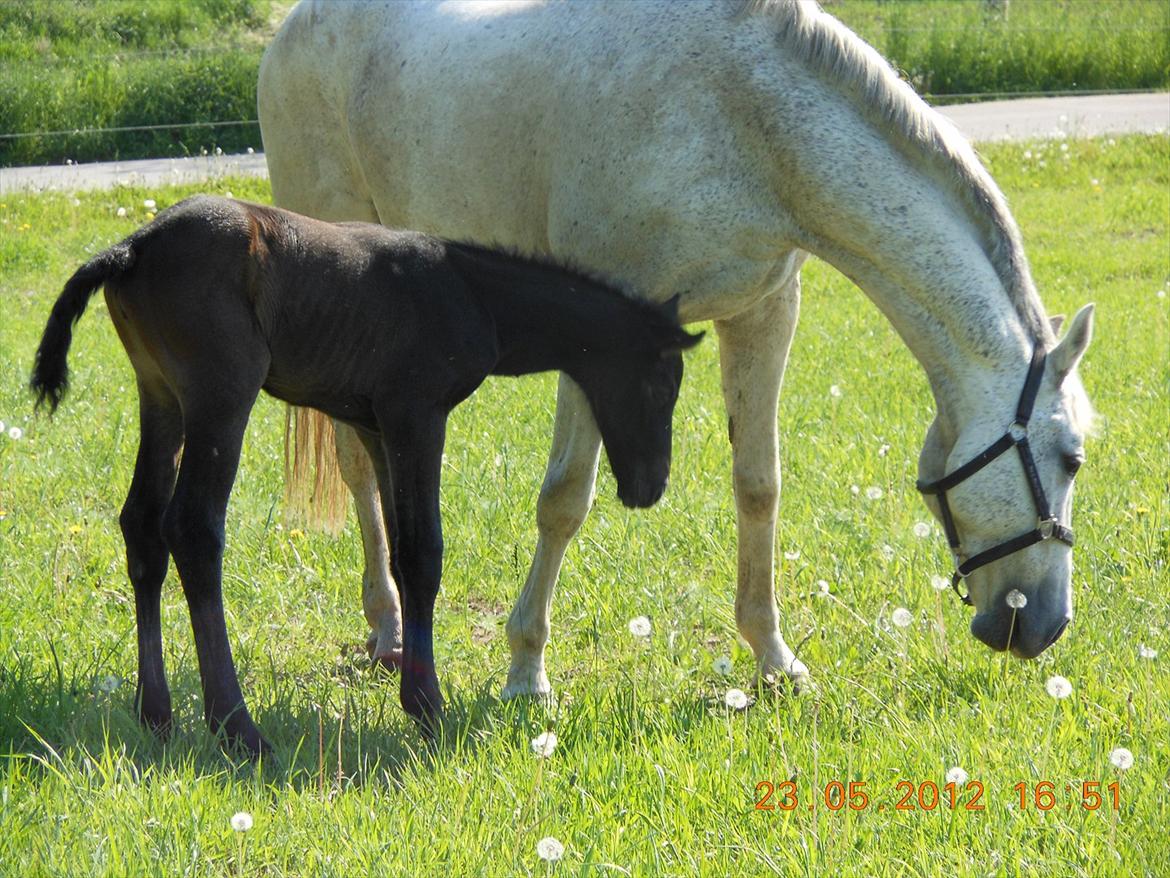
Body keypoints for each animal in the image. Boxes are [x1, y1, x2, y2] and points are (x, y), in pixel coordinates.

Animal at [258, 0, 1095, 702]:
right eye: (1072, 458)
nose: (1045, 625)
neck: (744, 118)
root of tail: (293, 25)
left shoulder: (761, 316)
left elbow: (759, 486)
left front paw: (774, 659)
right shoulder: (595, 340)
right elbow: (564, 500)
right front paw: (526, 671)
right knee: (356, 460)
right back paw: (388, 629)